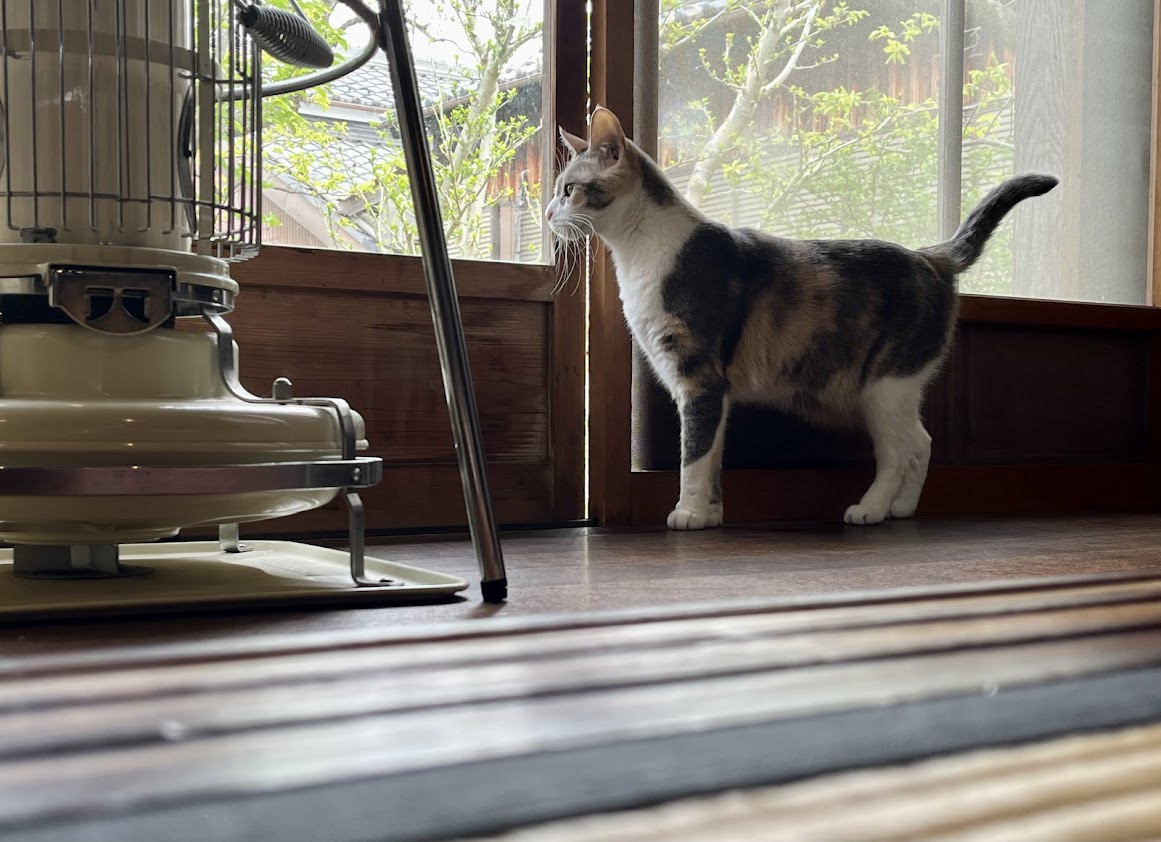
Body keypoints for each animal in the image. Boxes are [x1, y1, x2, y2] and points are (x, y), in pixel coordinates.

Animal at [546, 105, 1058, 530]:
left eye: (569, 190)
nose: (548, 213)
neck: (642, 253)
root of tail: (929, 255)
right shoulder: (713, 391)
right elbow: (712, 456)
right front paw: (711, 513)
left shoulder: (699, 377)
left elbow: (693, 454)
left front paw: (687, 513)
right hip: (899, 388)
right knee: (922, 443)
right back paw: (902, 508)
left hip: (883, 385)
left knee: (900, 451)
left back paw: (870, 509)